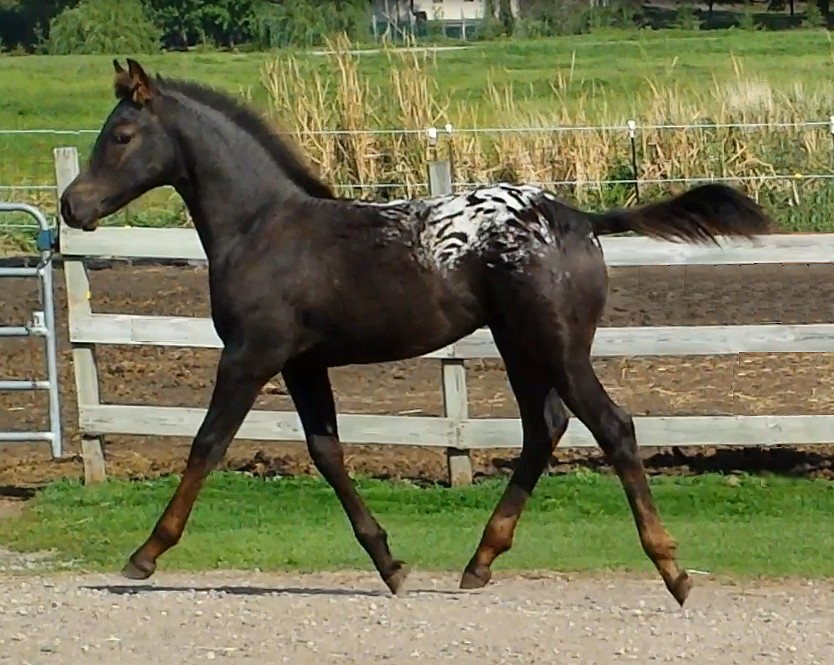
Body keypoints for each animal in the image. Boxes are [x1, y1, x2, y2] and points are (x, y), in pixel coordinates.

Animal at [60, 58, 774, 607]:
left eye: (122, 134)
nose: (72, 205)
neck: (264, 228)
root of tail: (575, 216)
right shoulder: (301, 363)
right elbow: (327, 452)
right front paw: (390, 564)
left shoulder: (249, 355)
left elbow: (206, 444)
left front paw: (145, 553)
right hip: (521, 348)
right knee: (543, 429)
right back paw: (479, 562)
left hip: (557, 348)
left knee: (612, 427)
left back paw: (673, 571)